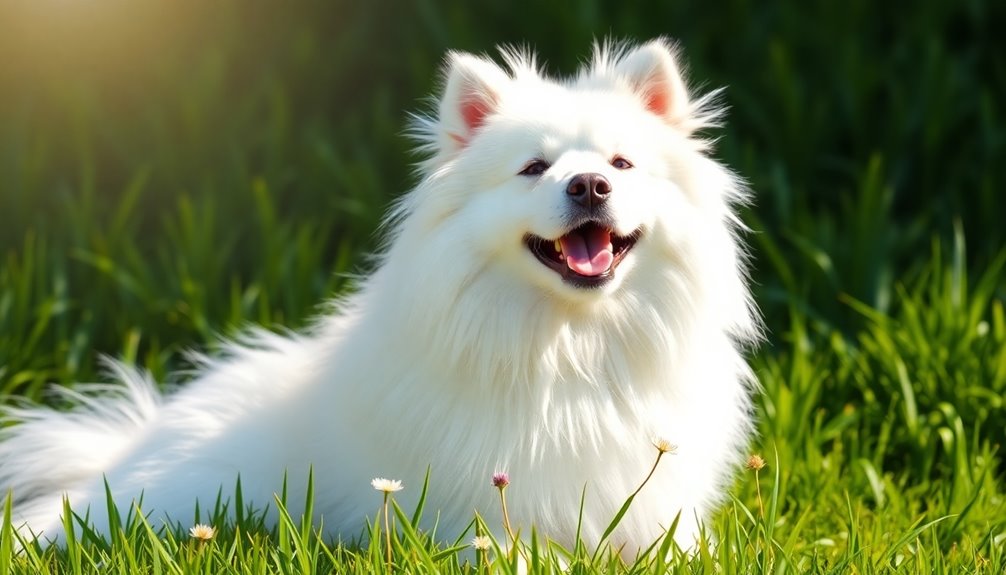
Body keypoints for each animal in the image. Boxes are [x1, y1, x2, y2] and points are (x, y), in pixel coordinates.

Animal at [0, 38, 756, 554]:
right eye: (533, 168)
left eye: (622, 164)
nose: (590, 185)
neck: (573, 345)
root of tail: (135, 437)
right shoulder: (482, 517)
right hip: (171, 493)